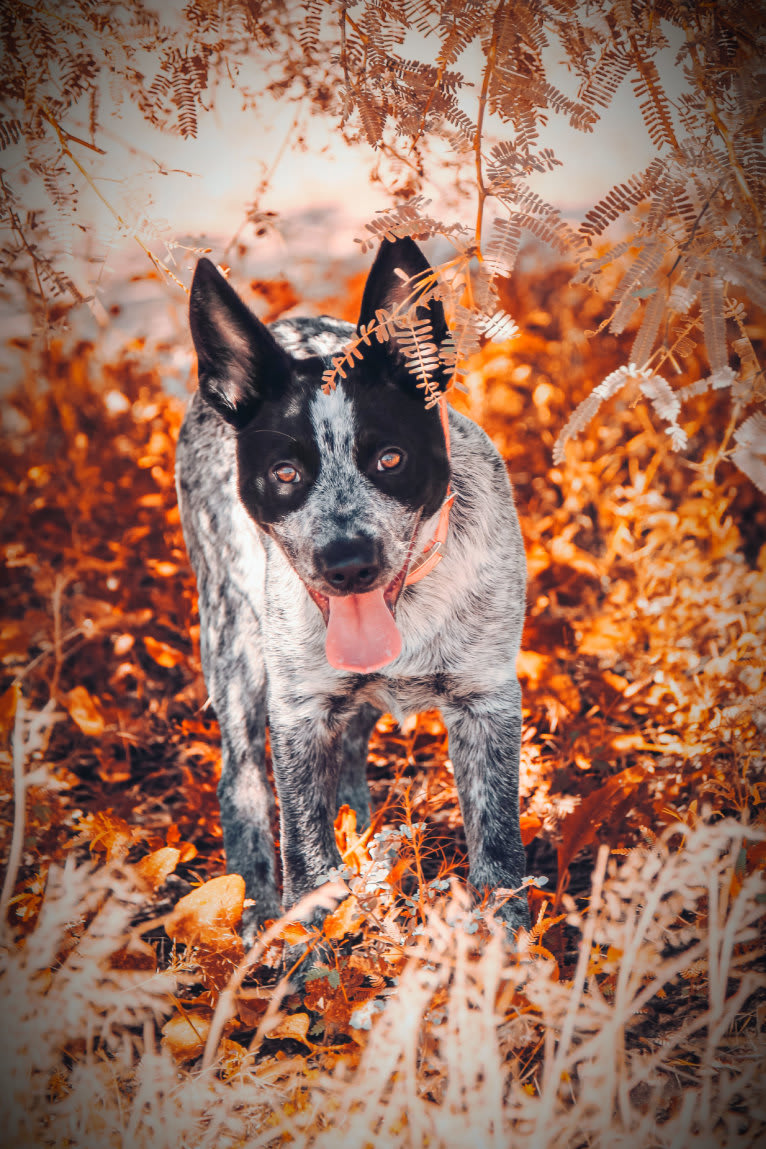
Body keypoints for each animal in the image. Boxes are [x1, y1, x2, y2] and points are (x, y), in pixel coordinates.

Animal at [175, 235, 530, 942]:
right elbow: (307, 856)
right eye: (285, 473)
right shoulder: (299, 711)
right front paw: (306, 954)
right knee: (242, 782)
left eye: (390, 459)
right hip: (235, 641)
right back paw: (255, 909)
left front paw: (506, 953)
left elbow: (499, 849)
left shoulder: (487, 701)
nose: (347, 565)